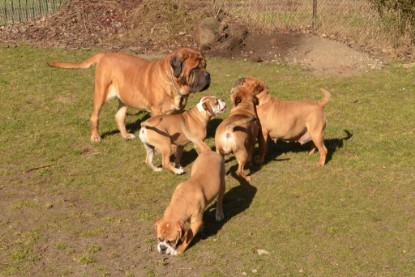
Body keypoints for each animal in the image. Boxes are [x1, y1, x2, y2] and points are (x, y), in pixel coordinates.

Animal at [48, 47, 211, 141]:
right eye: (195, 69)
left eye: (205, 66)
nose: (208, 75)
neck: (173, 81)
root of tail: (103, 55)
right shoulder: (157, 111)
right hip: (101, 93)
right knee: (95, 116)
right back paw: (95, 136)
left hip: (124, 99)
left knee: (119, 116)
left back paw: (125, 135)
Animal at [154, 121, 226, 254]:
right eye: (159, 238)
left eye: (171, 241)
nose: (162, 248)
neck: (181, 201)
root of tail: (208, 151)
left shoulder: (195, 222)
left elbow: (188, 236)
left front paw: (178, 250)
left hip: (222, 184)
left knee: (219, 199)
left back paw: (219, 213)